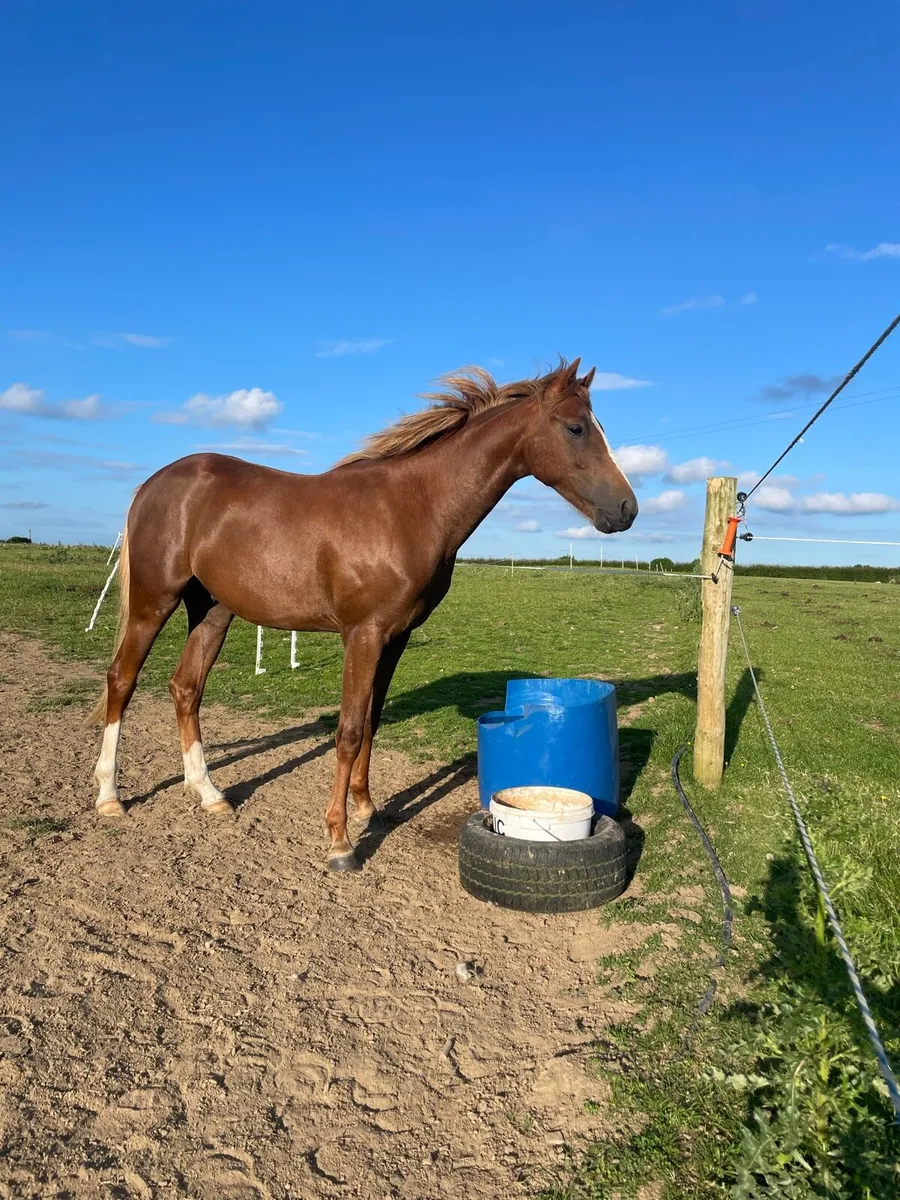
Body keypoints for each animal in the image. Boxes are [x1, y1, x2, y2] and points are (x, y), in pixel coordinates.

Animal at [88, 357, 637, 871]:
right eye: (576, 428)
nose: (627, 510)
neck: (412, 507)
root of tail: (154, 483)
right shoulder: (363, 634)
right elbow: (349, 730)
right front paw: (340, 840)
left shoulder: (395, 637)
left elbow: (371, 719)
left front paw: (367, 806)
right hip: (154, 603)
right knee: (122, 680)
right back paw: (110, 796)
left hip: (212, 611)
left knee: (186, 688)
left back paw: (208, 793)